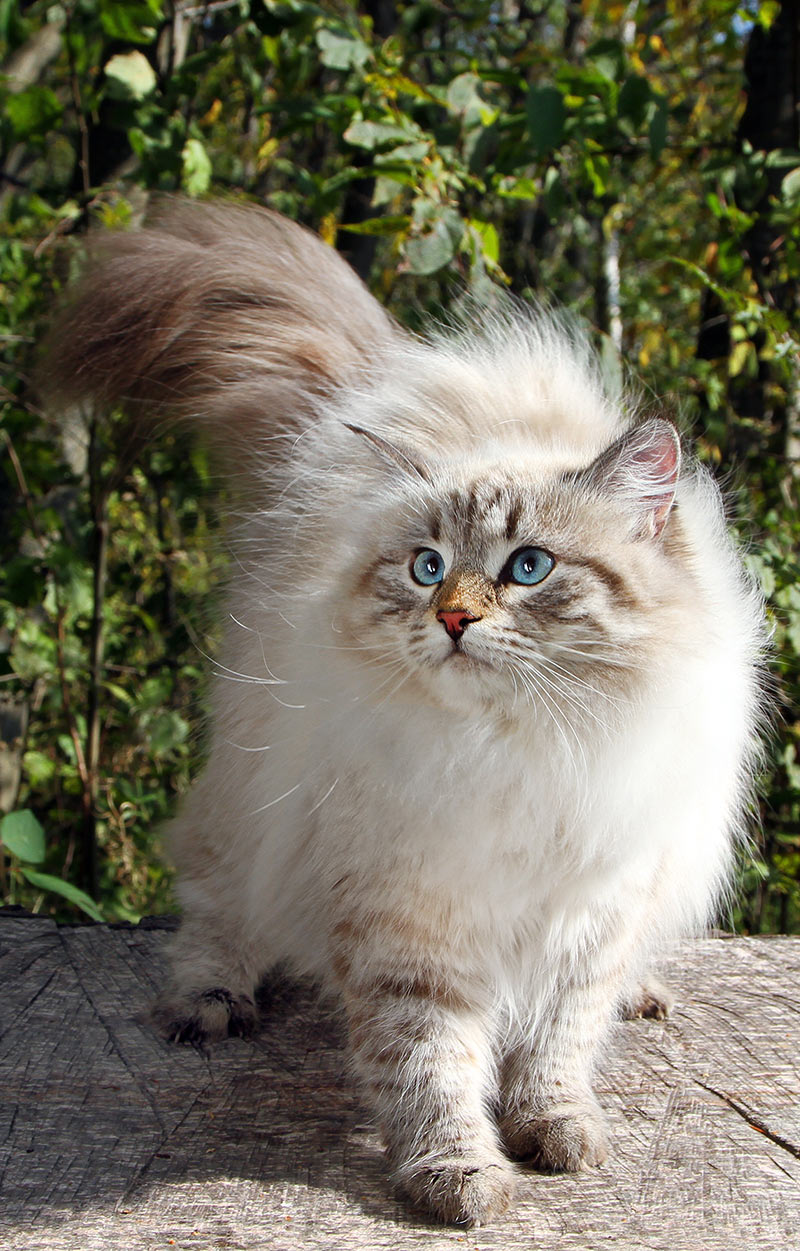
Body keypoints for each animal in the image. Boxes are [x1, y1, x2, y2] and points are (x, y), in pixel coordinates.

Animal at [42, 200, 761, 1225]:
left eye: (528, 567)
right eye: (427, 567)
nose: (452, 617)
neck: (517, 750)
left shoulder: (594, 912)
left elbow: (557, 1046)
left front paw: (561, 1134)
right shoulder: (410, 914)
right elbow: (433, 1064)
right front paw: (460, 1180)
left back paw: (641, 994)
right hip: (249, 790)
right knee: (217, 898)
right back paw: (212, 998)